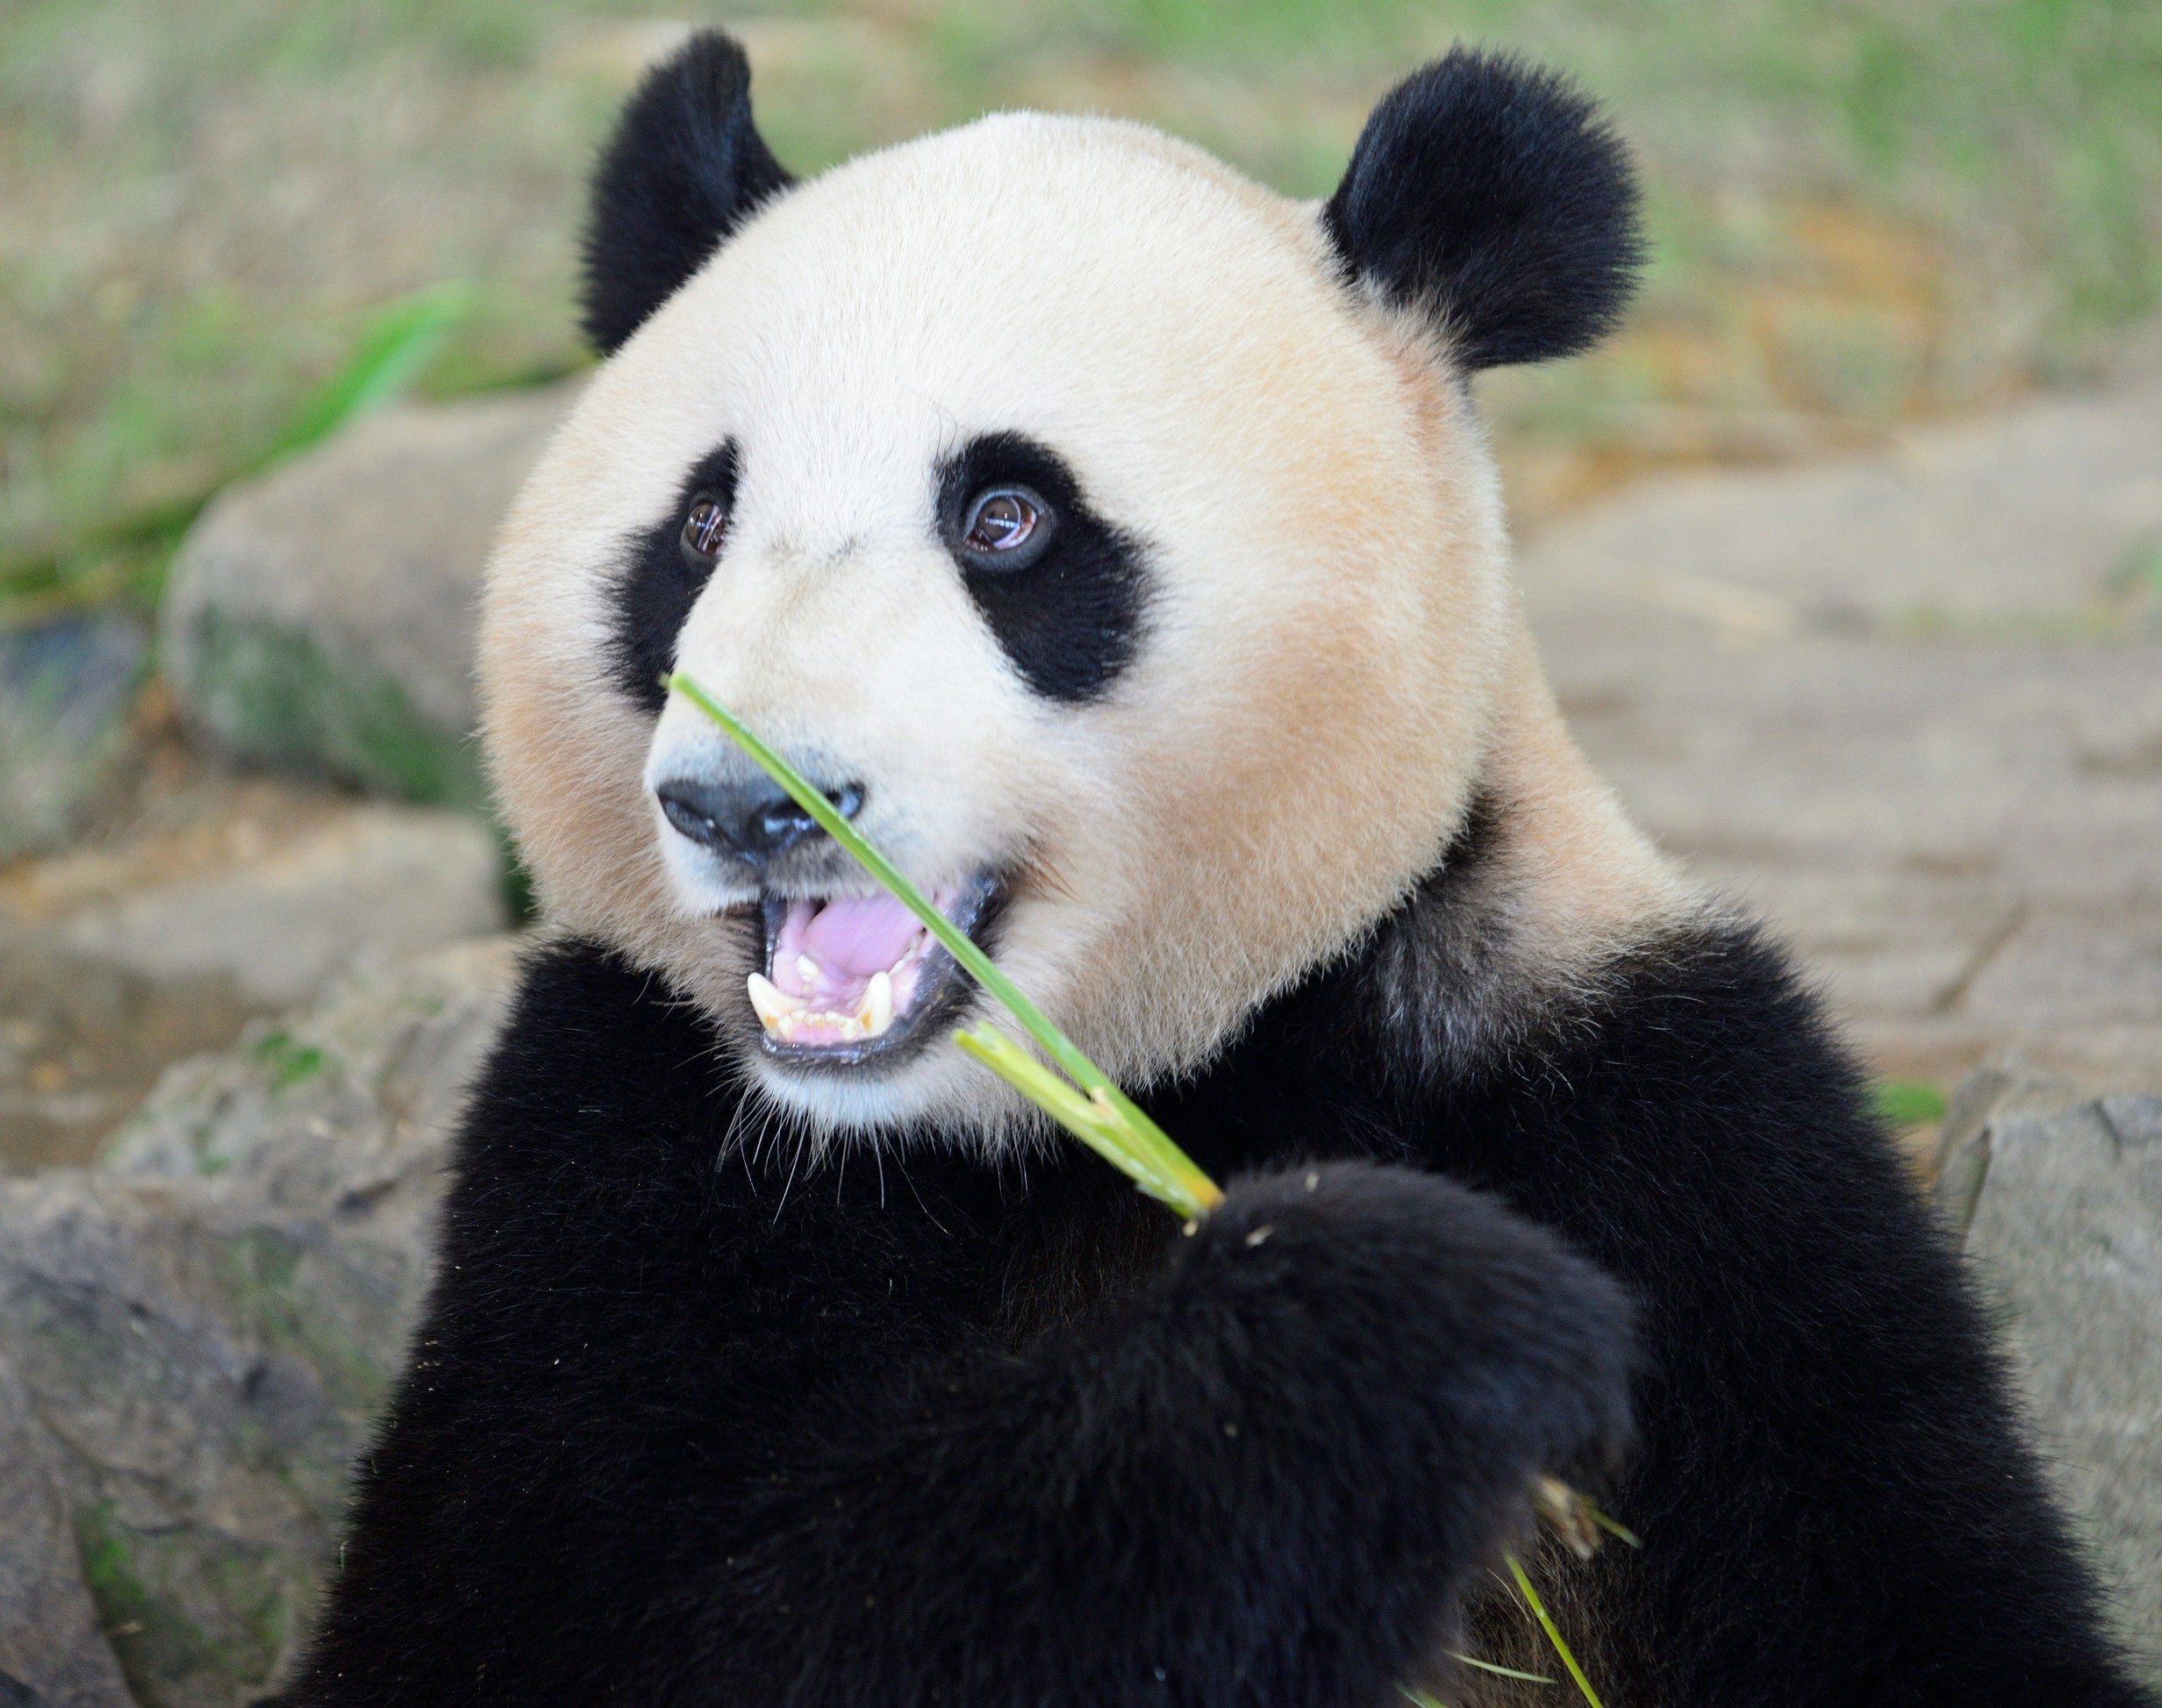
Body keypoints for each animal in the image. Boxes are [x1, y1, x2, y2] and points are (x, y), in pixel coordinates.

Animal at [284, 32, 2149, 1708]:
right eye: (695, 530)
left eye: (1007, 520)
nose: (746, 801)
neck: (1103, 1100)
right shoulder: (618, 1135)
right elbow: (584, 1624)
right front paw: (1399, 1319)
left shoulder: (1663, 1106)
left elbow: (1910, 1601)